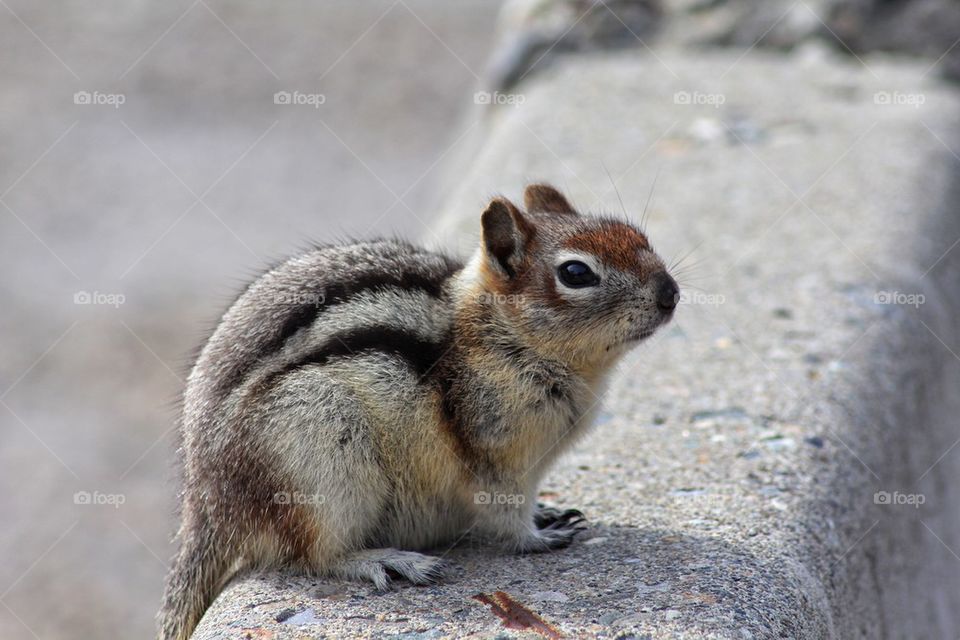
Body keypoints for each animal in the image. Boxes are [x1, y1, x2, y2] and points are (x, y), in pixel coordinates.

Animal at [158, 184, 679, 640]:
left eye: (639, 237)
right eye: (576, 273)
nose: (671, 293)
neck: (495, 332)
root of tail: (205, 503)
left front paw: (547, 512)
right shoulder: (493, 452)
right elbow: (504, 508)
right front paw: (535, 536)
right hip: (318, 462)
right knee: (311, 553)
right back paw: (385, 560)